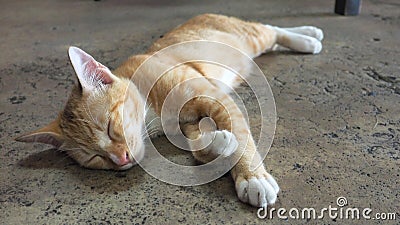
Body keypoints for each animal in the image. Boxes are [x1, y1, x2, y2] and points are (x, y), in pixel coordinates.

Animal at [15, 14, 324, 207]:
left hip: (249, 39)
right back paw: (309, 34)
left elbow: (242, 137)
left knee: (270, 28)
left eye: (110, 127)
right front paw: (218, 144)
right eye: (94, 157)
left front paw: (252, 177)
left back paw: (308, 38)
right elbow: (200, 146)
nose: (120, 159)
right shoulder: (188, 122)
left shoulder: (215, 98)